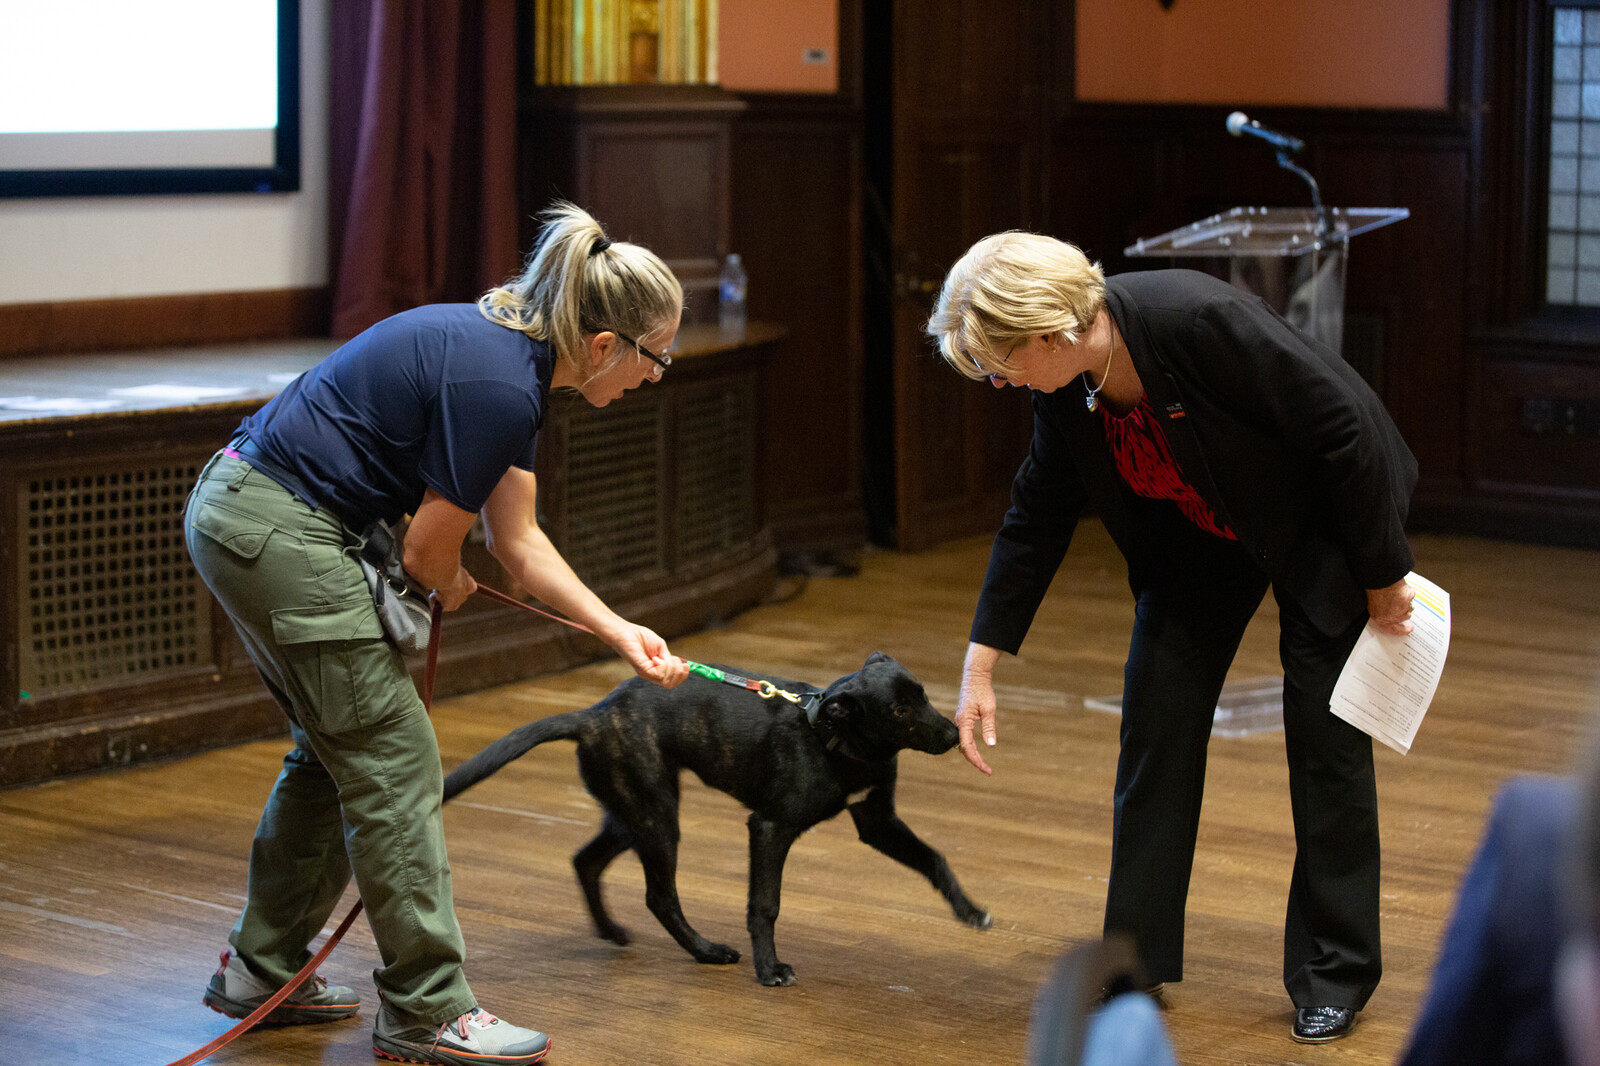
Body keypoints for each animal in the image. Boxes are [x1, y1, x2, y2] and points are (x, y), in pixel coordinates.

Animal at [448, 646, 985, 979]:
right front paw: (770, 971)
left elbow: (934, 859)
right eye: (898, 711)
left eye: (922, 693)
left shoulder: (877, 821)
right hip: (656, 817)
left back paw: (611, 931)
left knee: (586, 860)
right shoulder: (769, 828)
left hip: (633, 812)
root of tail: (593, 716)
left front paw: (971, 911)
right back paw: (706, 952)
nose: (953, 735)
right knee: (659, 896)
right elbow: (765, 904)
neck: (832, 736)